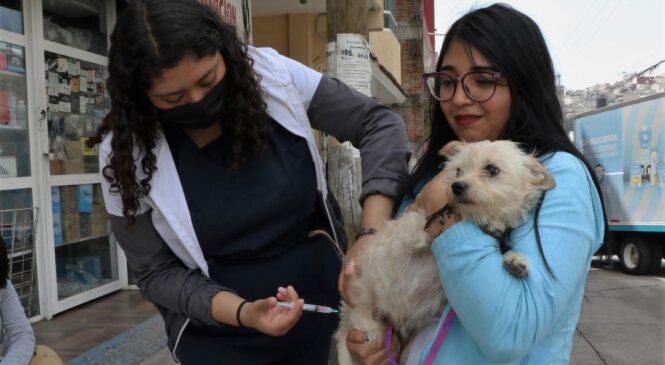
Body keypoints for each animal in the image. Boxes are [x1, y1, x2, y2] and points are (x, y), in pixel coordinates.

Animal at [338, 139, 556, 364]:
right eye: (458, 170)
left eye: (492, 169)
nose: (456, 186)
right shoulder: (408, 231)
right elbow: (426, 225)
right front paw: (485, 222)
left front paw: (514, 259)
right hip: (360, 310)